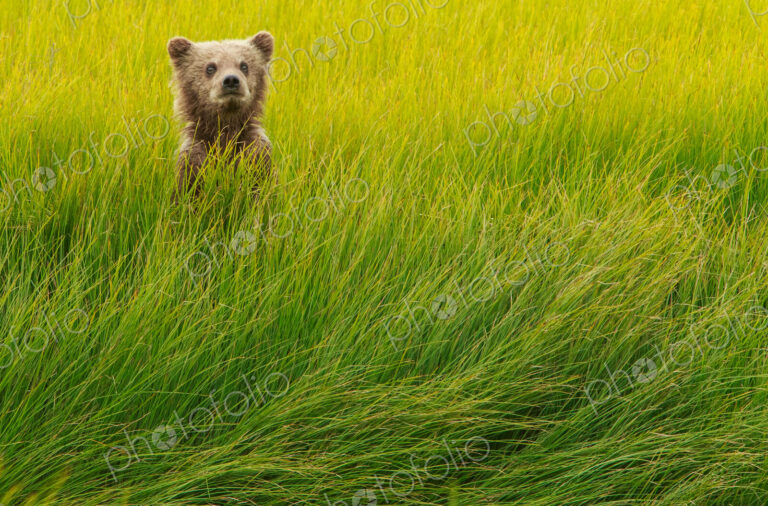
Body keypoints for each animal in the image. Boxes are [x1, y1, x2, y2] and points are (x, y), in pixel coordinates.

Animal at [167, 32, 274, 200]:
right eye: (210, 67)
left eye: (244, 65)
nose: (231, 80)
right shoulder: (195, 156)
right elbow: (187, 190)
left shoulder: (255, 152)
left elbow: (260, 187)